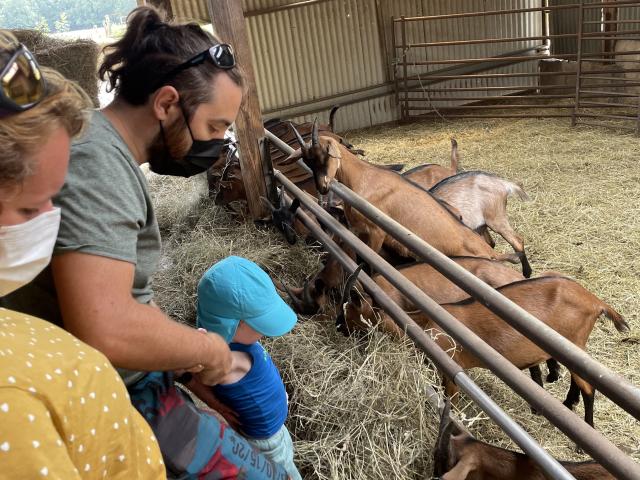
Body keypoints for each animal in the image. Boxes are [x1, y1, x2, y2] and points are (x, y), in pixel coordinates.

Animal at [288, 122, 524, 266]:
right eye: (307, 160)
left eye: (325, 155)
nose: (323, 186)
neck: (364, 177)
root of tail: (492, 255)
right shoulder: (359, 231)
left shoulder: (376, 233)